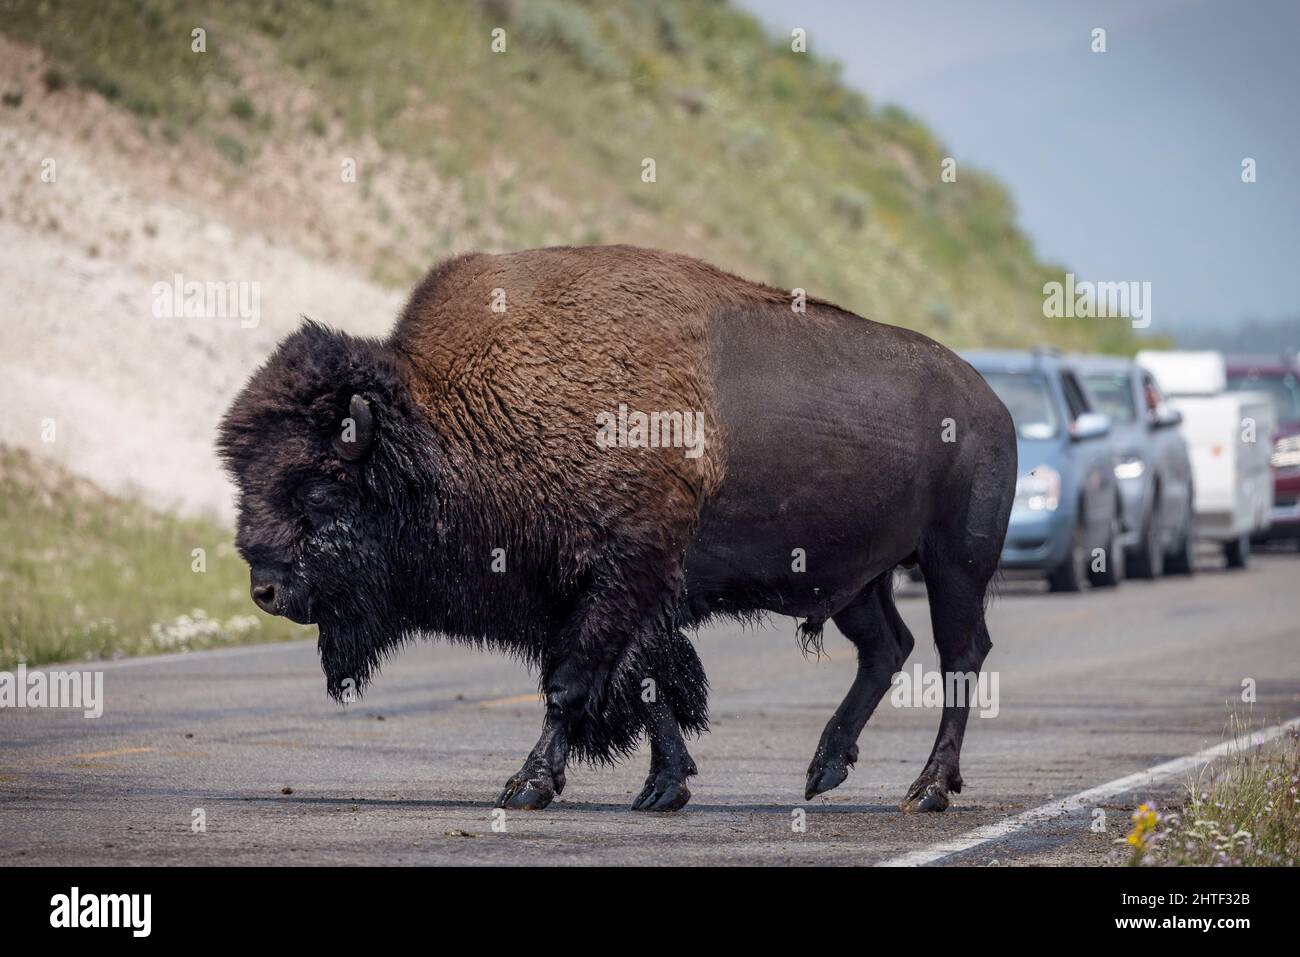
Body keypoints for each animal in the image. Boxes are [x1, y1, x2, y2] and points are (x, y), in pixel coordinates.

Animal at [218, 244, 1016, 813]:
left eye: (319, 486)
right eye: (245, 478)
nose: (265, 588)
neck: (454, 424)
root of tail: (989, 402)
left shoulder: (618, 581)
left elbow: (575, 682)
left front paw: (528, 784)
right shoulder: (619, 594)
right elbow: (647, 685)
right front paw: (664, 787)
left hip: (954, 562)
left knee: (959, 654)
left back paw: (927, 789)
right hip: (860, 579)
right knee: (887, 647)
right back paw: (823, 770)